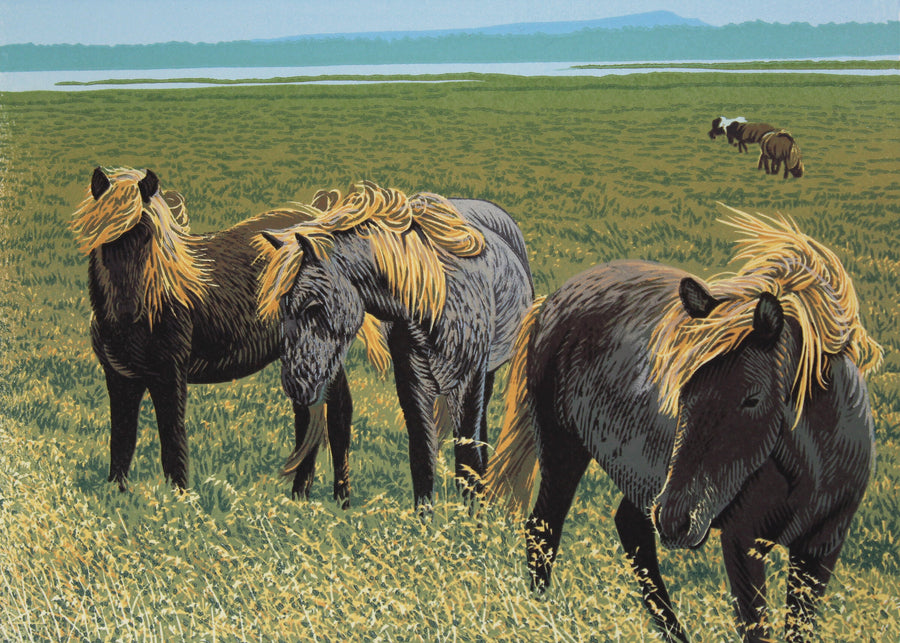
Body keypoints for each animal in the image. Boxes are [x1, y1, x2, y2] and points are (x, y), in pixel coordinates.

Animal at [71, 167, 388, 505]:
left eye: (147, 236)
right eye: (102, 236)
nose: (128, 312)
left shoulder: (169, 377)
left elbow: (171, 439)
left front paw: (180, 498)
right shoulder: (120, 378)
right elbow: (121, 439)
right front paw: (117, 494)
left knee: (337, 415)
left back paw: (340, 499)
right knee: (308, 416)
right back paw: (299, 495)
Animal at [257, 180, 534, 509]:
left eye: (312, 305)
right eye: (282, 306)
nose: (295, 385)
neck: (432, 298)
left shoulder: (469, 380)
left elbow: (467, 456)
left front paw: (471, 518)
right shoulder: (411, 378)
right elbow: (422, 455)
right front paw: (425, 518)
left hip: (484, 375)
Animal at [486, 208, 881, 642]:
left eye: (752, 398)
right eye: (685, 388)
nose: (677, 519)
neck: (813, 467)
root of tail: (554, 300)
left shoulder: (821, 549)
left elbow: (799, 627)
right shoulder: (744, 542)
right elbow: (755, 626)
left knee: (630, 529)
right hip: (566, 451)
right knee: (544, 527)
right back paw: (543, 614)